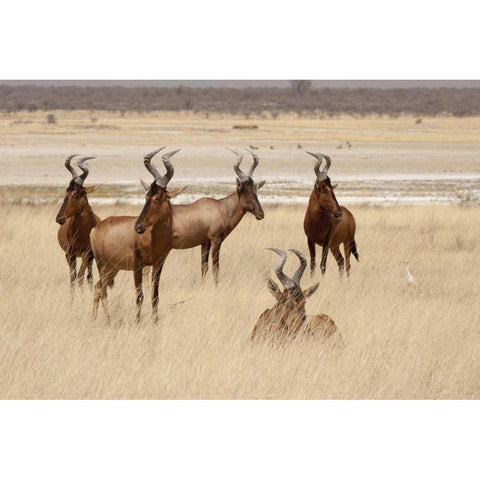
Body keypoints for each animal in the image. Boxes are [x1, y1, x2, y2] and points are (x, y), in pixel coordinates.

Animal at [56, 156, 100, 294]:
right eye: (66, 192)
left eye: (75, 193)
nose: (59, 218)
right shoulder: (69, 254)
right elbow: (73, 277)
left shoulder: (87, 254)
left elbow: (80, 276)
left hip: (91, 258)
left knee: (89, 276)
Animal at [90, 148, 184, 324]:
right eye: (146, 196)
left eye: (158, 197)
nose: (138, 227)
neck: (153, 239)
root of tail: (96, 228)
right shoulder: (137, 265)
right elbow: (139, 296)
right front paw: (138, 322)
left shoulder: (158, 264)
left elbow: (155, 296)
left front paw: (155, 321)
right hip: (102, 265)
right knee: (101, 289)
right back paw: (106, 320)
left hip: (113, 268)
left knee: (98, 287)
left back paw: (96, 318)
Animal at [142, 149, 266, 284]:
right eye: (246, 191)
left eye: (255, 190)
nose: (260, 214)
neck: (220, 207)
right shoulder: (216, 240)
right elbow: (215, 267)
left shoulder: (204, 242)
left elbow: (204, 267)